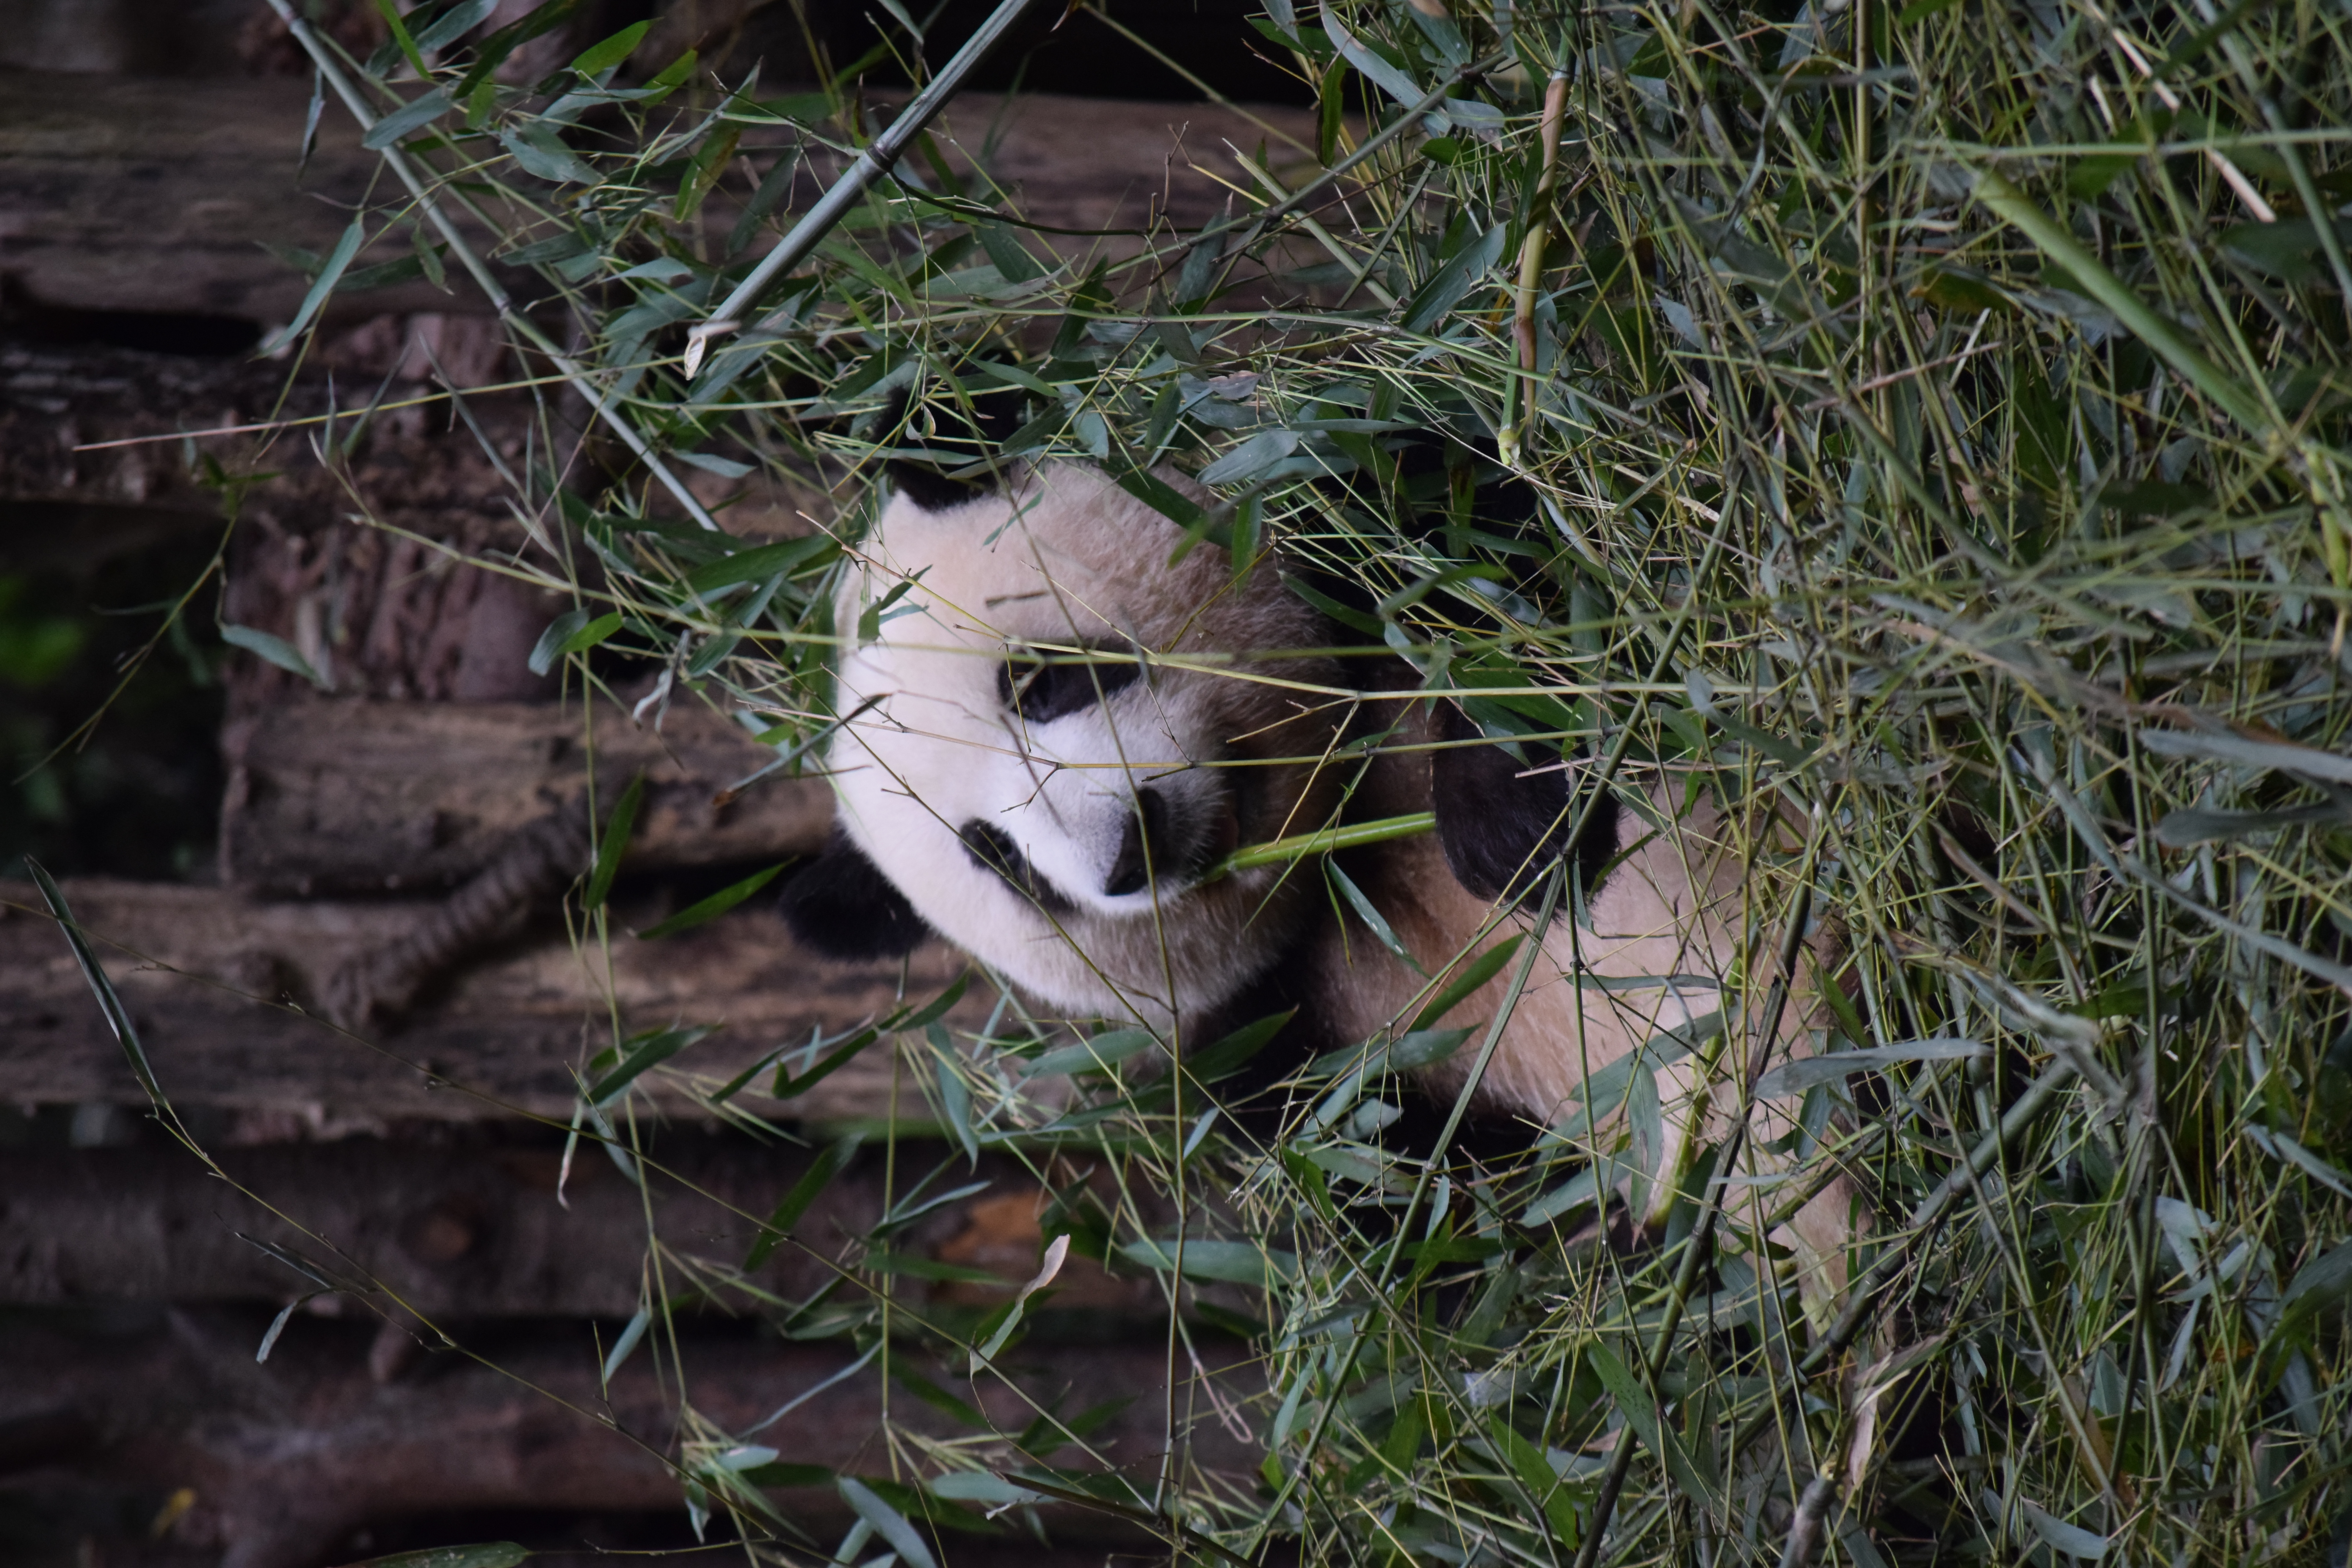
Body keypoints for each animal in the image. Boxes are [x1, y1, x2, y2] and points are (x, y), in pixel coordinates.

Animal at [781, 455, 1864, 1309]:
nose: (1133, 847)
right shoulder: (1292, 1048)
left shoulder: (1354, 552)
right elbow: (1432, 1241)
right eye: (996, 856)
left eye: (1041, 683)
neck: (1346, 852)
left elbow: (1505, 552)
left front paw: (1510, 827)